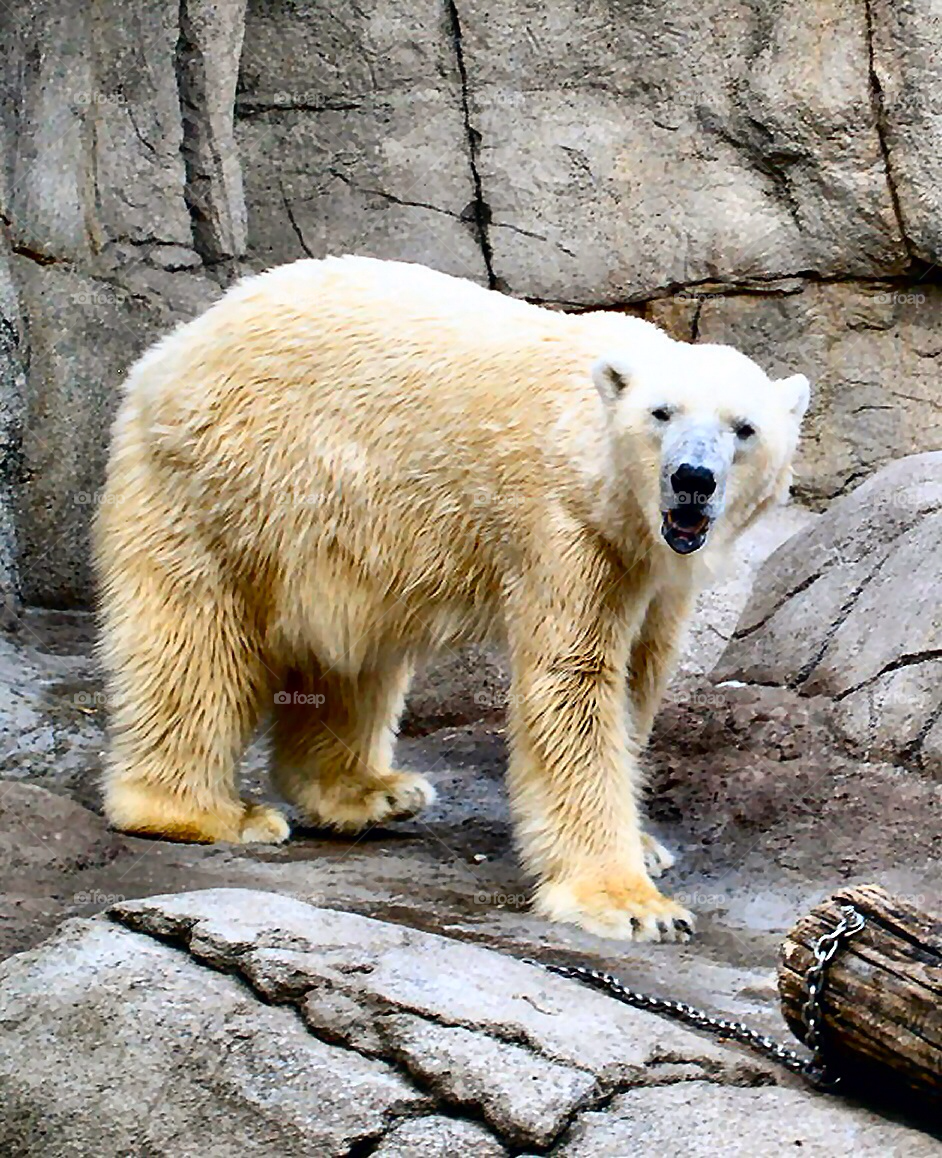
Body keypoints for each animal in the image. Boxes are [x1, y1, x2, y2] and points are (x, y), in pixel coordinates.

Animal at [95, 255, 806, 940]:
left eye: (743, 429)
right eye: (662, 414)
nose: (693, 479)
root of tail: (168, 352)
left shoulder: (652, 567)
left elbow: (638, 676)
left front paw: (646, 846)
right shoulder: (565, 525)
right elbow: (576, 686)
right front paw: (635, 905)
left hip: (335, 527)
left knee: (348, 650)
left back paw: (368, 792)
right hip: (228, 478)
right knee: (193, 638)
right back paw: (204, 813)